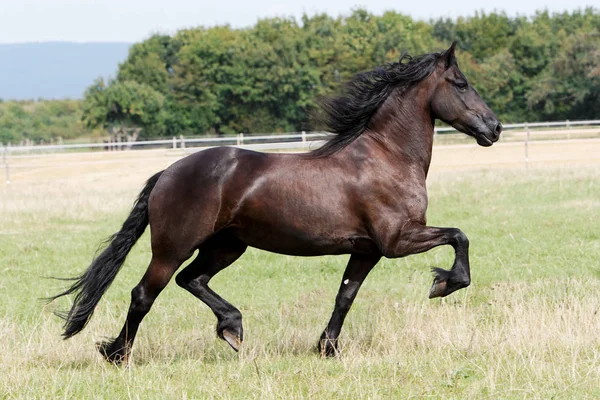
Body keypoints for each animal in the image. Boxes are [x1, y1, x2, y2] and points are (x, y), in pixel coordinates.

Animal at [50, 43, 502, 362]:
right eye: (461, 84)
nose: (494, 128)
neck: (386, 156)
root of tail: (167, 172)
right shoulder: (397, 240)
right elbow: (459, 236)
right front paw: (443, 284)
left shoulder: (368, 250)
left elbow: (345, 296)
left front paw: (326, 348)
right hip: (172, 247)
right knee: (144, 293)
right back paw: (117, 354)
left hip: (227, 245)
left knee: (192, 280)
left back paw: (231, 329)